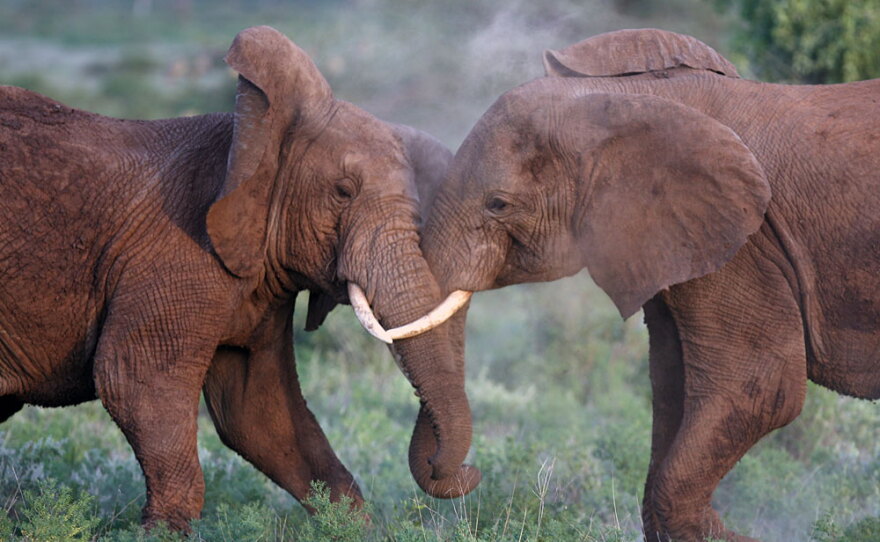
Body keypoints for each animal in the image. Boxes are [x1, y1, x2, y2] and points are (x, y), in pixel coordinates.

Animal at [0, 25, 479, 530]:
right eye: (343, 192)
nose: (462, 470)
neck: (253, 140)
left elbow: (258, 413)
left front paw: (350, 528)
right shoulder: (175, 251)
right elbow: (131, 378)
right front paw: (164, 531)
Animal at [404, 29, 880, 542]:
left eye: (498, 204)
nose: (465, 472)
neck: (625, 101)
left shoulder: (745, 246)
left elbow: (761, 389)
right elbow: (672, 388)